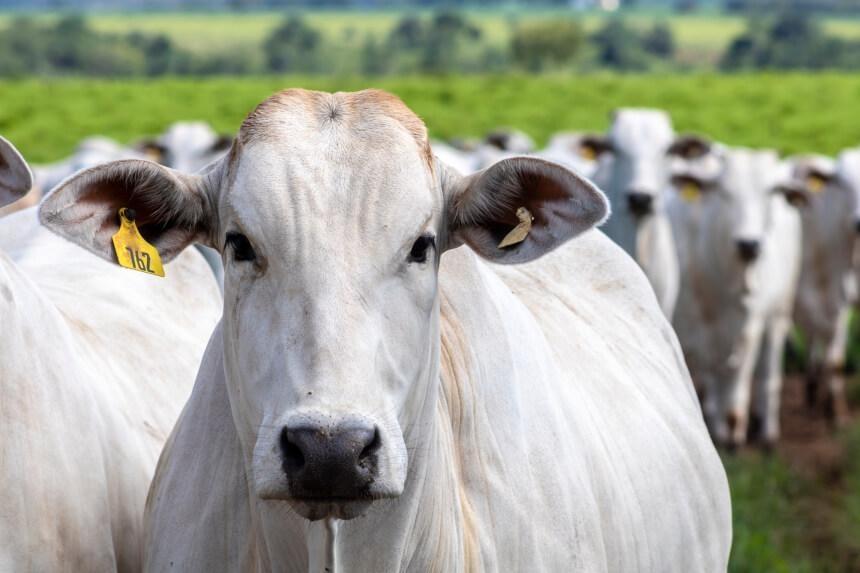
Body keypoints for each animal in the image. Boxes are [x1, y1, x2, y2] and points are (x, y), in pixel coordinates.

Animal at [670, 144, 802, 448]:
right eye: (724, 192)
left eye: (771, 192)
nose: (749, 244)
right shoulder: (696, 328)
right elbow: (713, 374)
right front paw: (718, 428)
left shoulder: (750, 326)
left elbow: (738, 378)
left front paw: (734, 431)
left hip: (779, 311)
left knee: (768, 373)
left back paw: (767, 430)